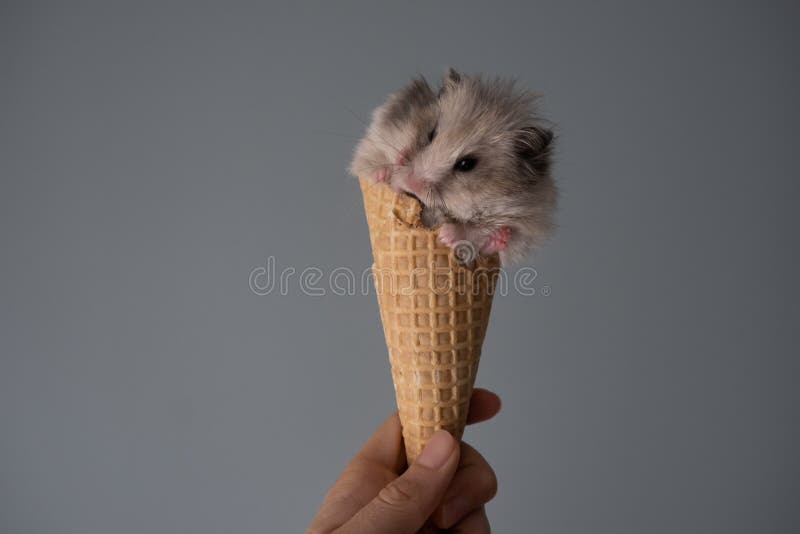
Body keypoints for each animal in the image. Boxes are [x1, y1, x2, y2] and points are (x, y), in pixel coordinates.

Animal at [350, 68, 557, 265]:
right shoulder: (371, 145)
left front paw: (446, 235)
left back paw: (497, 238)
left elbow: (483, 230)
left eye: (466, 164)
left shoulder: (528, 221)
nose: (412, 184)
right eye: (430, 134)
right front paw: (384, 173)